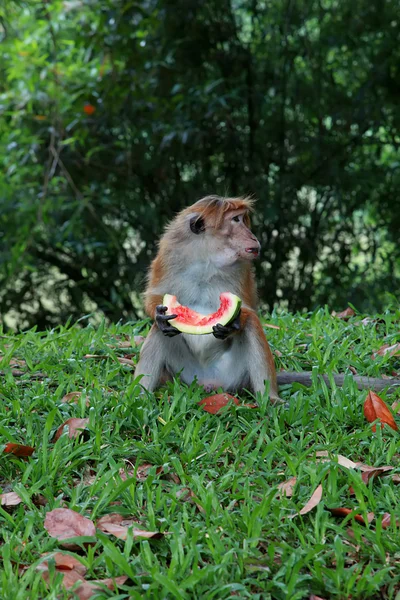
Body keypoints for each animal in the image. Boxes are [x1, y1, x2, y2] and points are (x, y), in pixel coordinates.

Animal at [134, 197, 400, 400]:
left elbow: (249, 310)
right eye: (235, 220)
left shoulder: (242, 268)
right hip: (185, 374)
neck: (205, 259)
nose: (252, 236)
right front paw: (159, 315)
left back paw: (270, 400)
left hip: (234, 374)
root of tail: (210, 383)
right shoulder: (169, 255)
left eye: (243, 219)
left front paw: (235, 322)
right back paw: (139, 398)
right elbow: (155, 296)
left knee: (252, 327)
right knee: (159, 332)